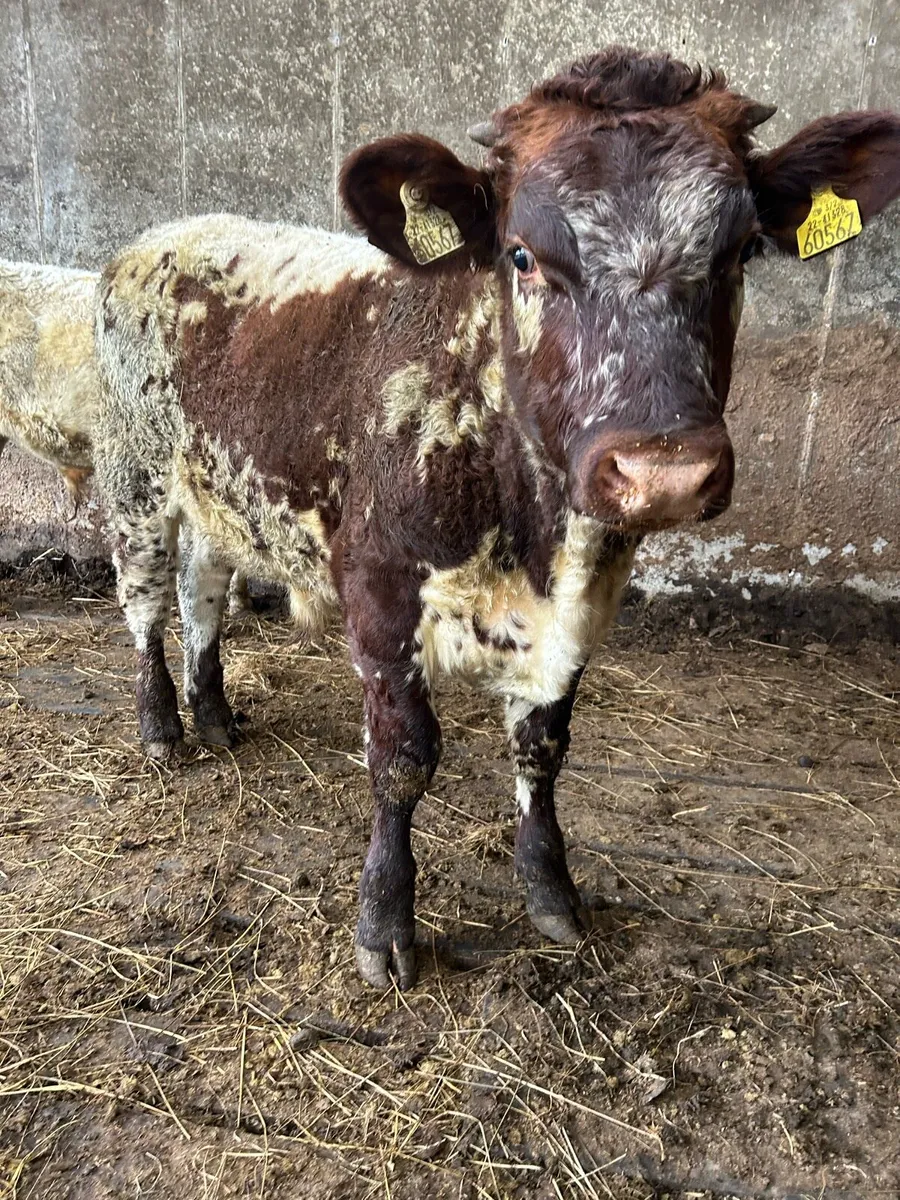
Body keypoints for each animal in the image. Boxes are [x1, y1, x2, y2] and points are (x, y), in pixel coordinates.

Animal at [93, 47, 900, 989]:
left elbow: (543, 749)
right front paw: (385, 923)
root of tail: (166, 233)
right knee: (146, 604)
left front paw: (552, 891)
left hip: (217, 491)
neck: (532, 531)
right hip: (134, 477)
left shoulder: (582, 608)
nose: (662, 470)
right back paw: (161, 728)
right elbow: (402, 761)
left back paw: (215, 716)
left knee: (203, 594)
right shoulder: (378, 592)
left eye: (738, 252)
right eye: (521, 255)